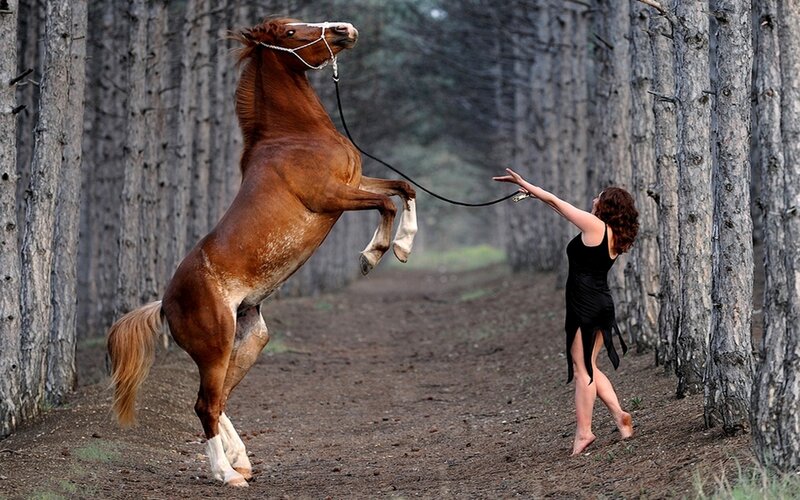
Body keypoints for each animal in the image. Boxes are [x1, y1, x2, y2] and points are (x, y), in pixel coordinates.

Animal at [106, 17, 417, 487]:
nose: (345, 29)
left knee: (217, 401)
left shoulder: (354, 183)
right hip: (215, 347)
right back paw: (226, 474)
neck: (294, 136)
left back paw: (241, 461)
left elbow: (403, 188)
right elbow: (386, 202)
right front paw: (375, 254)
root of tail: (164, 304)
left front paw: (403, 246)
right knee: (204, 405)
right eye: (290, 32)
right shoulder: (331, 196)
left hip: (250, 339)